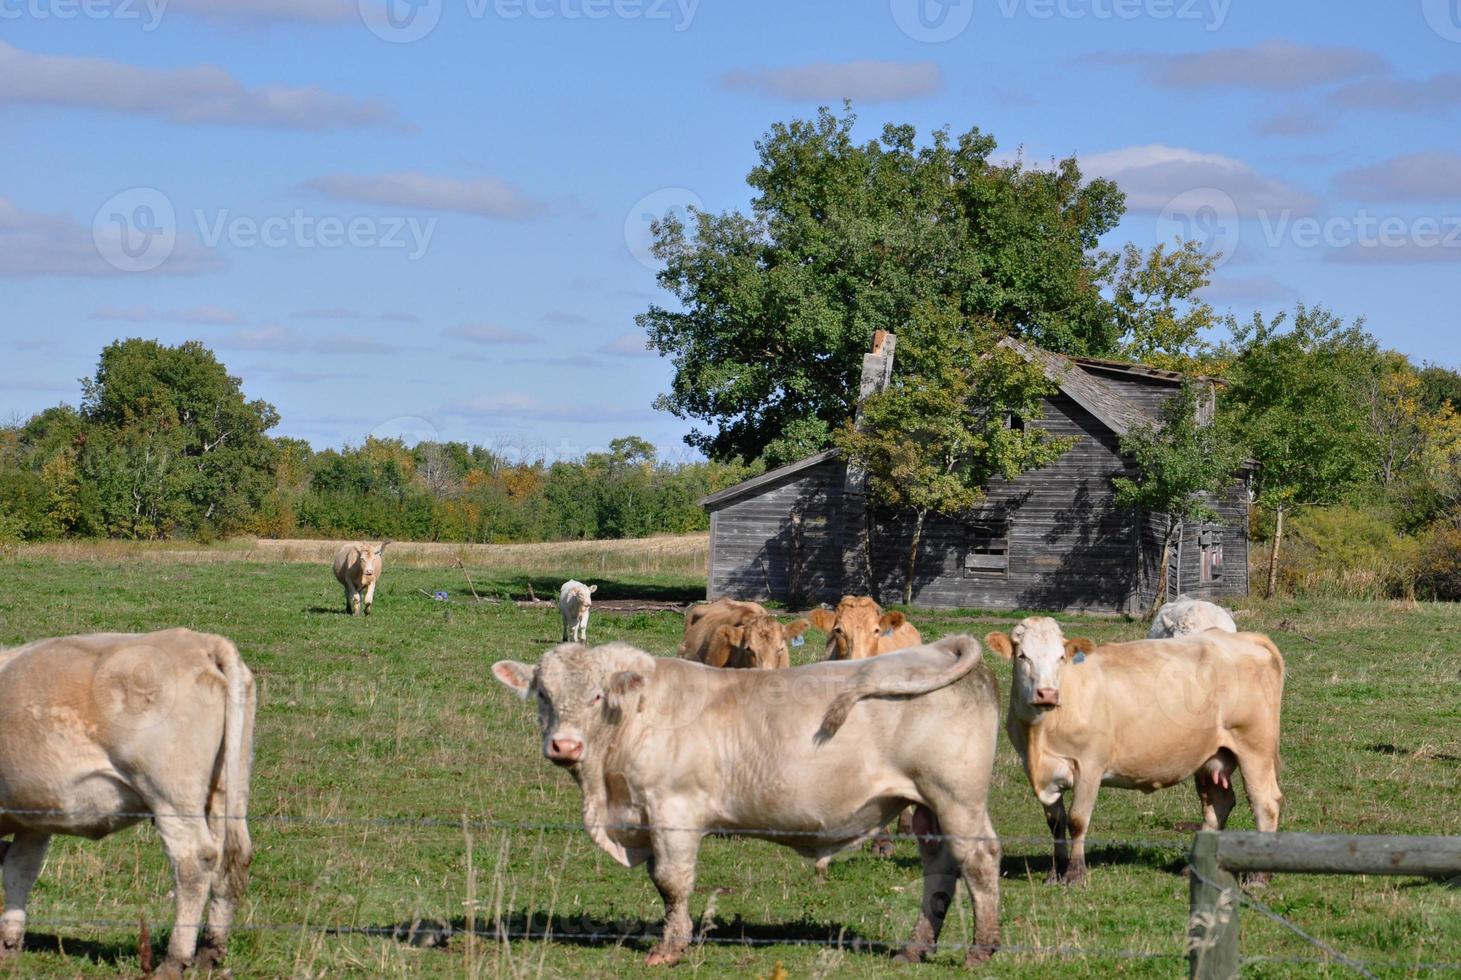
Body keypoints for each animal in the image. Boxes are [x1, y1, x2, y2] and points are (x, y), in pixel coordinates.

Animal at [0, 628, 255, 975]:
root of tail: (201, 642)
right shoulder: (34, 817)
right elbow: (19, 871)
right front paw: (10, 946)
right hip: (229, 788)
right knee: (234, 855)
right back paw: (210, 951)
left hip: (171, 794)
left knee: (194, 861)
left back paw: (174, 961)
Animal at [490, 639, 1005, 969]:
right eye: (543, 694)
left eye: (596, 696)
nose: (564, 745)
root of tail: (939, 647)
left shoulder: (672, 810)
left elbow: (671, 881)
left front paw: (670, 949)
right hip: (929, 808)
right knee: (940, 869)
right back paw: (915, 949)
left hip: (957, 797)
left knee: (978, 860)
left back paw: (981, 950)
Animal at [987, 616, 1285, 887]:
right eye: (1022, 656)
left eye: (1061, 657)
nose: (1046, 693)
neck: (1040, 734)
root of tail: (1241, 637)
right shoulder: (1036, 769)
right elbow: (1056, 824)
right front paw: (1055, 872)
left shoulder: (1089, 766)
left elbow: (1077, 821)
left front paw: (1074, 875)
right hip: (1211, 755)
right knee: (1218, 804)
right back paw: (1194, 869)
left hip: (1254, 746)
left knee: (1265, 804)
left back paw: (1259, 877)